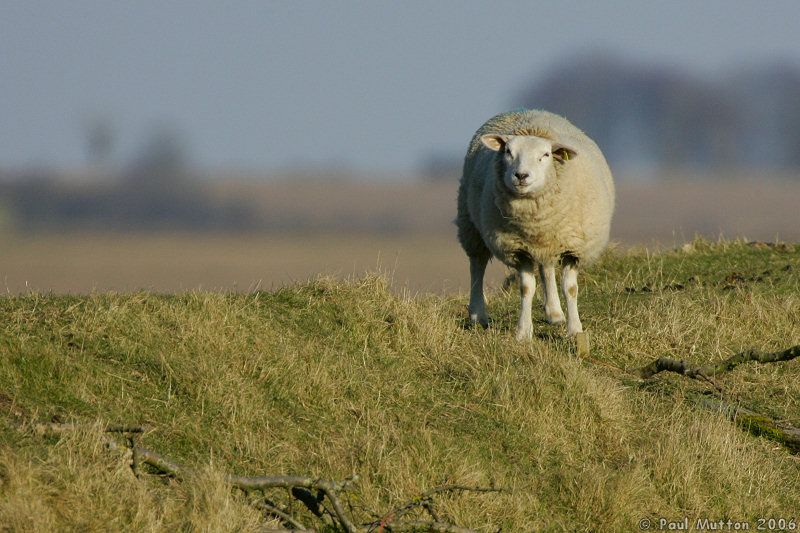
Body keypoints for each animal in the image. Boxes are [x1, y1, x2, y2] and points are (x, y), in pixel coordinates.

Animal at [456, 109, 614, 340]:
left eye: (546, 155)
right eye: (508, 152)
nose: (521, 175)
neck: (535, 221)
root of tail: (525, 110)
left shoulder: (573, 247)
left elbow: (570, 288)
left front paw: (574, 329)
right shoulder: (518, 248)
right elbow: (525, 288)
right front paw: (523, 332)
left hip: (549, 242)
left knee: (546, 268)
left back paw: (555, 313)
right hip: (470, 222)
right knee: (477, 264)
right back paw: (478, 315)